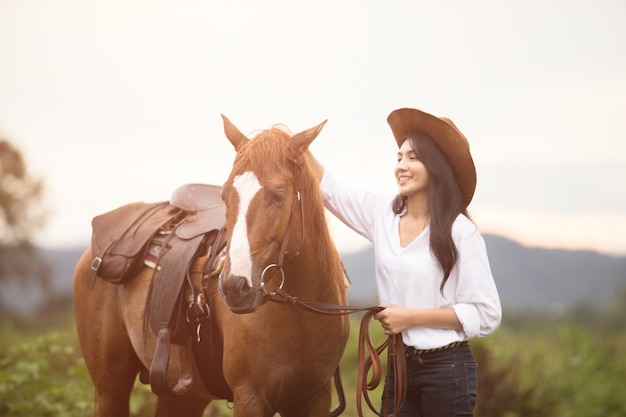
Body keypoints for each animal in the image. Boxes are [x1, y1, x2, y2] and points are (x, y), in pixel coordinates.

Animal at [73, 115, 352, 414]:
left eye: (279, 195)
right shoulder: (250, 397)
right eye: (225, 196)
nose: (234, 287)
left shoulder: (315, 398)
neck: (299, 316)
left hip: (184, 397)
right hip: (110, 389)